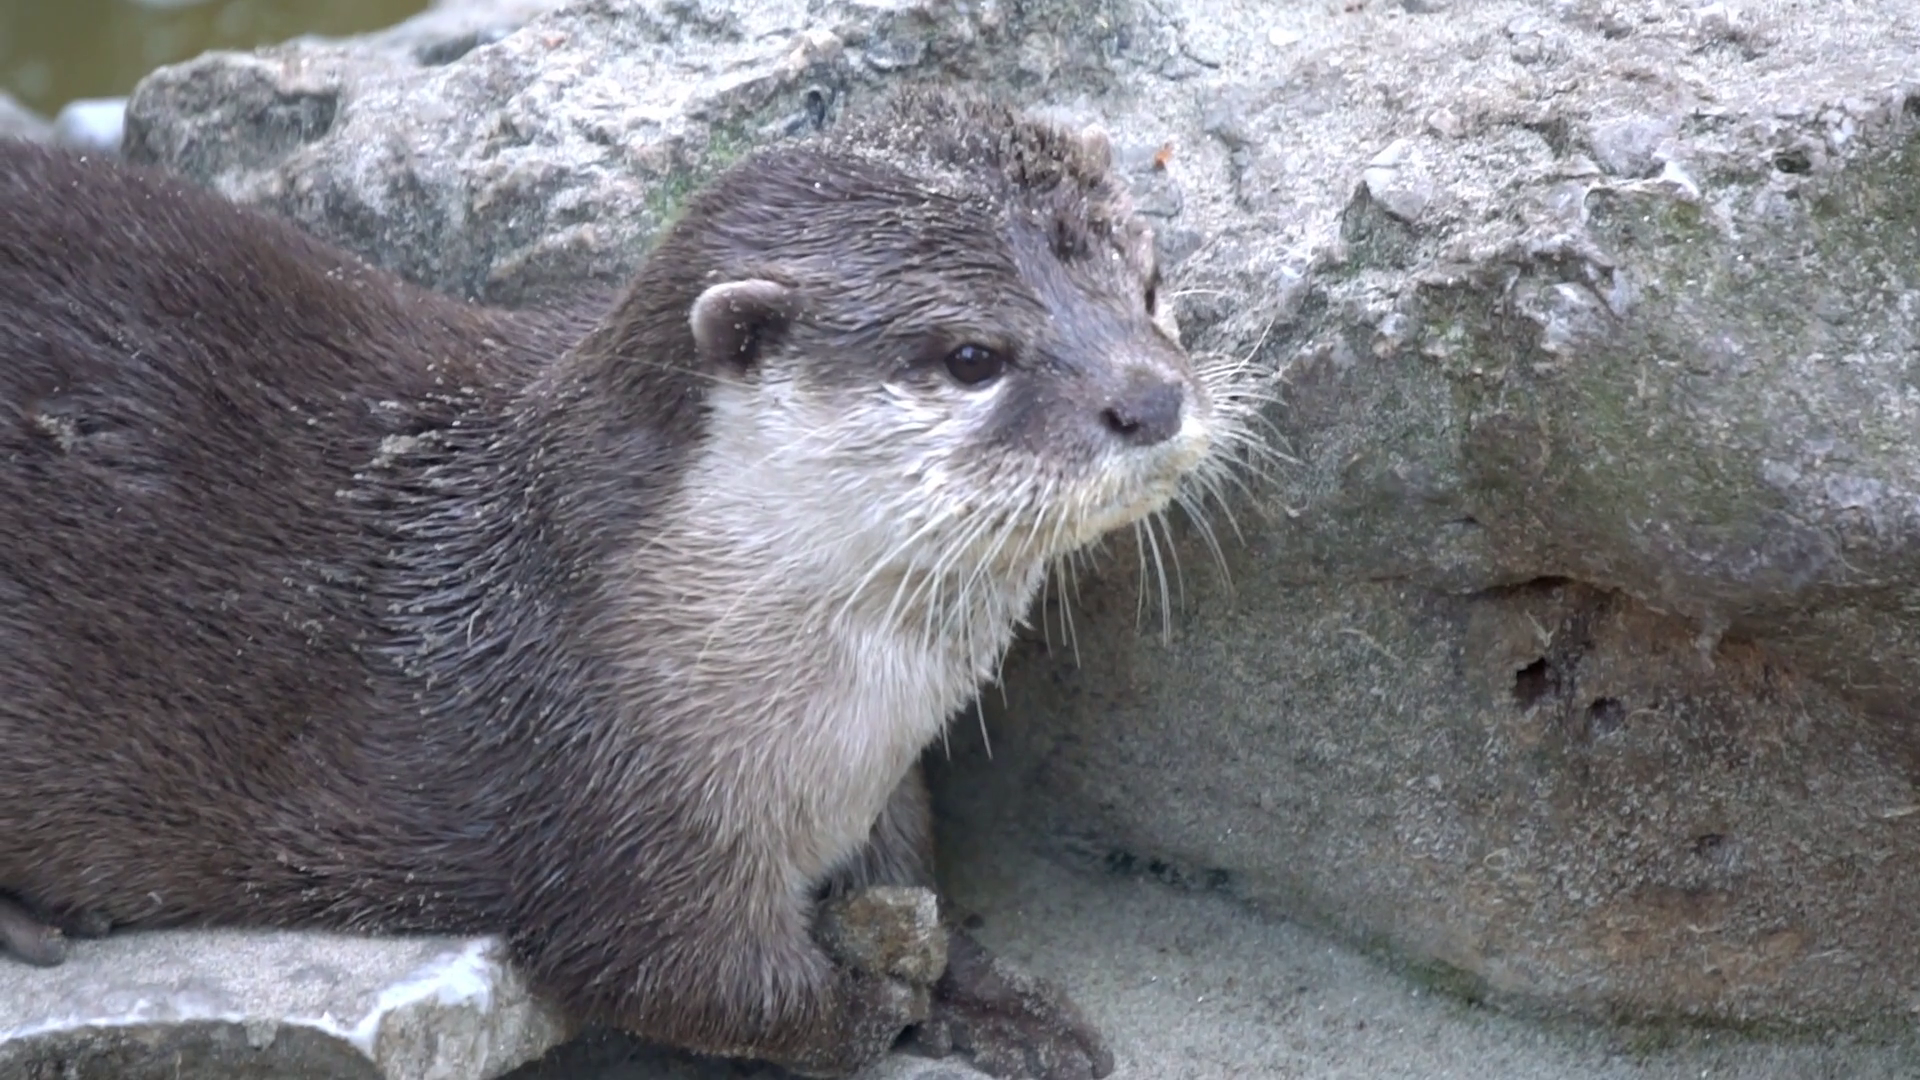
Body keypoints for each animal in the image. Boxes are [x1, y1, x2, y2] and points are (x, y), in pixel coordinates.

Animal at [0, 87, 1240, 1077]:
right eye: (974, 357)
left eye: (1149, 287)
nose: (1151, 398)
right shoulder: (594, 804)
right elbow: (710, 990)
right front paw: (878, 1001)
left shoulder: (881, 788)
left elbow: (918, 875)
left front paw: (997, 999)